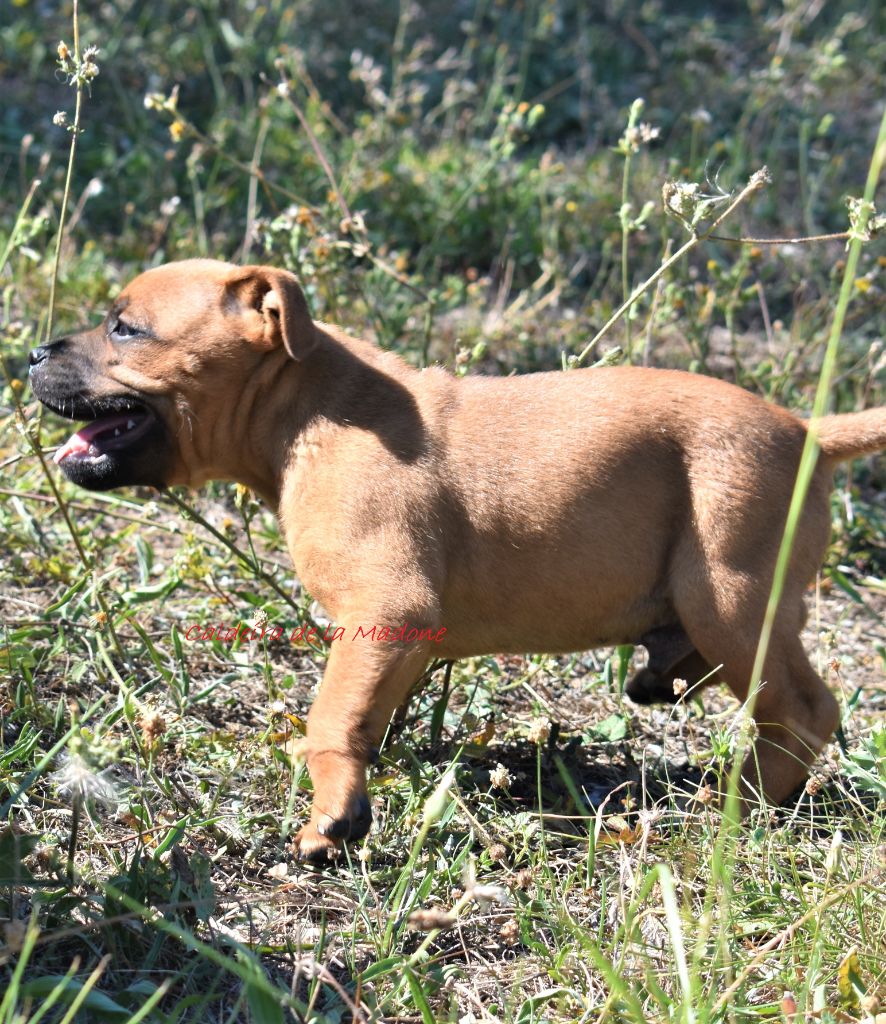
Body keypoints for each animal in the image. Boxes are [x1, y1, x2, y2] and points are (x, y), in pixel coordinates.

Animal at [27, 260, 884, 860]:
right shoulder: (397, 636)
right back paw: (667, 682)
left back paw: (742, 803)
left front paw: (330, 816)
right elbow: (364, 711)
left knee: (803, 708)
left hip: (732, 594)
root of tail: (807, 429)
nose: (32, 351)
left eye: (125, 329)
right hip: (719, 600)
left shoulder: (385, 608)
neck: (306, 410)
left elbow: (329, 714)